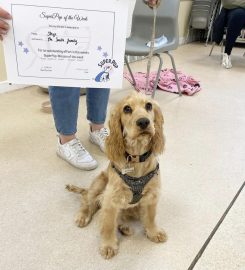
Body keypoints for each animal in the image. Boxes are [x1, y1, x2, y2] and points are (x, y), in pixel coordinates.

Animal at [67, 92, 167, 260]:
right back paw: (83, 215)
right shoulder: (111, 198)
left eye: (148, 106)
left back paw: (124, 227)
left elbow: (151, 217)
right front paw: (108, 245)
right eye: (127, 109)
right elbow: (108, 224)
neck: (136, 158)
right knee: (88, 200)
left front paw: (154, 232)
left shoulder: (152, 195)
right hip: (99, 184)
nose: (143, 122)